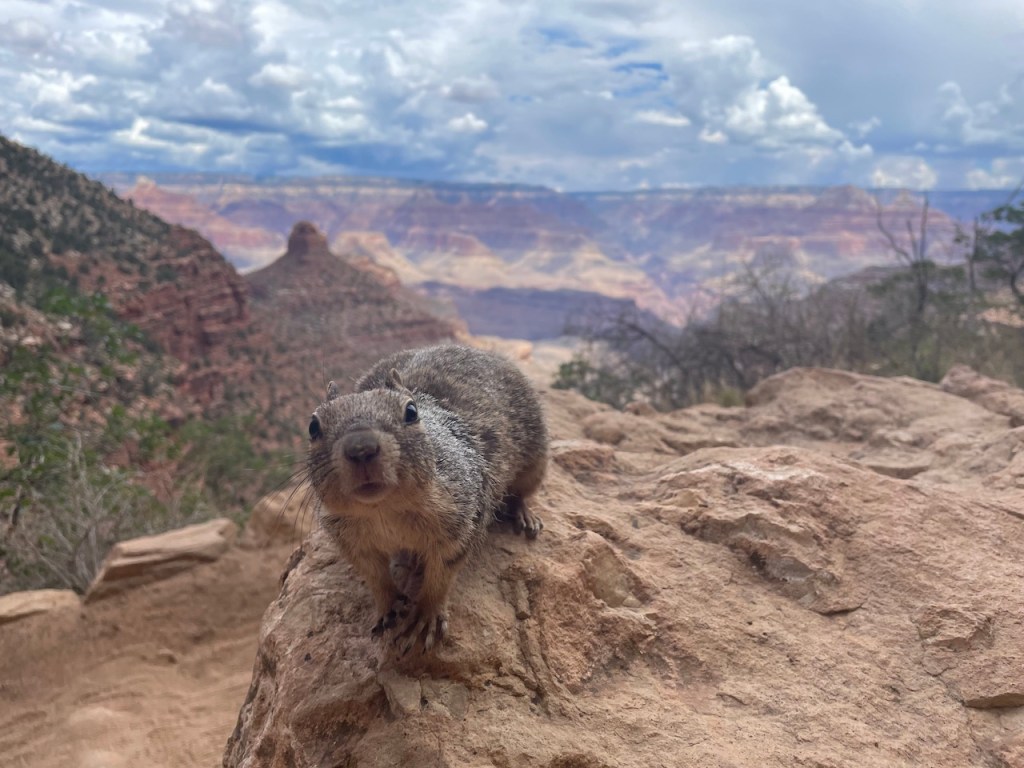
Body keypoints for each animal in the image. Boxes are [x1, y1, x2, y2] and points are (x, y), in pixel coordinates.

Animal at [306, 344, 548, 654]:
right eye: (313, 426)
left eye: (411, 411)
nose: (361, 448)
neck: (383, 510)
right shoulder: (351, 541)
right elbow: (375, 577)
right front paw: (388, 608)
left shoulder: (462, 520)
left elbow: (441, 574)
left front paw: (424, 617)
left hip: (535, 459)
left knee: (521, 492)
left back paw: (524, 515)